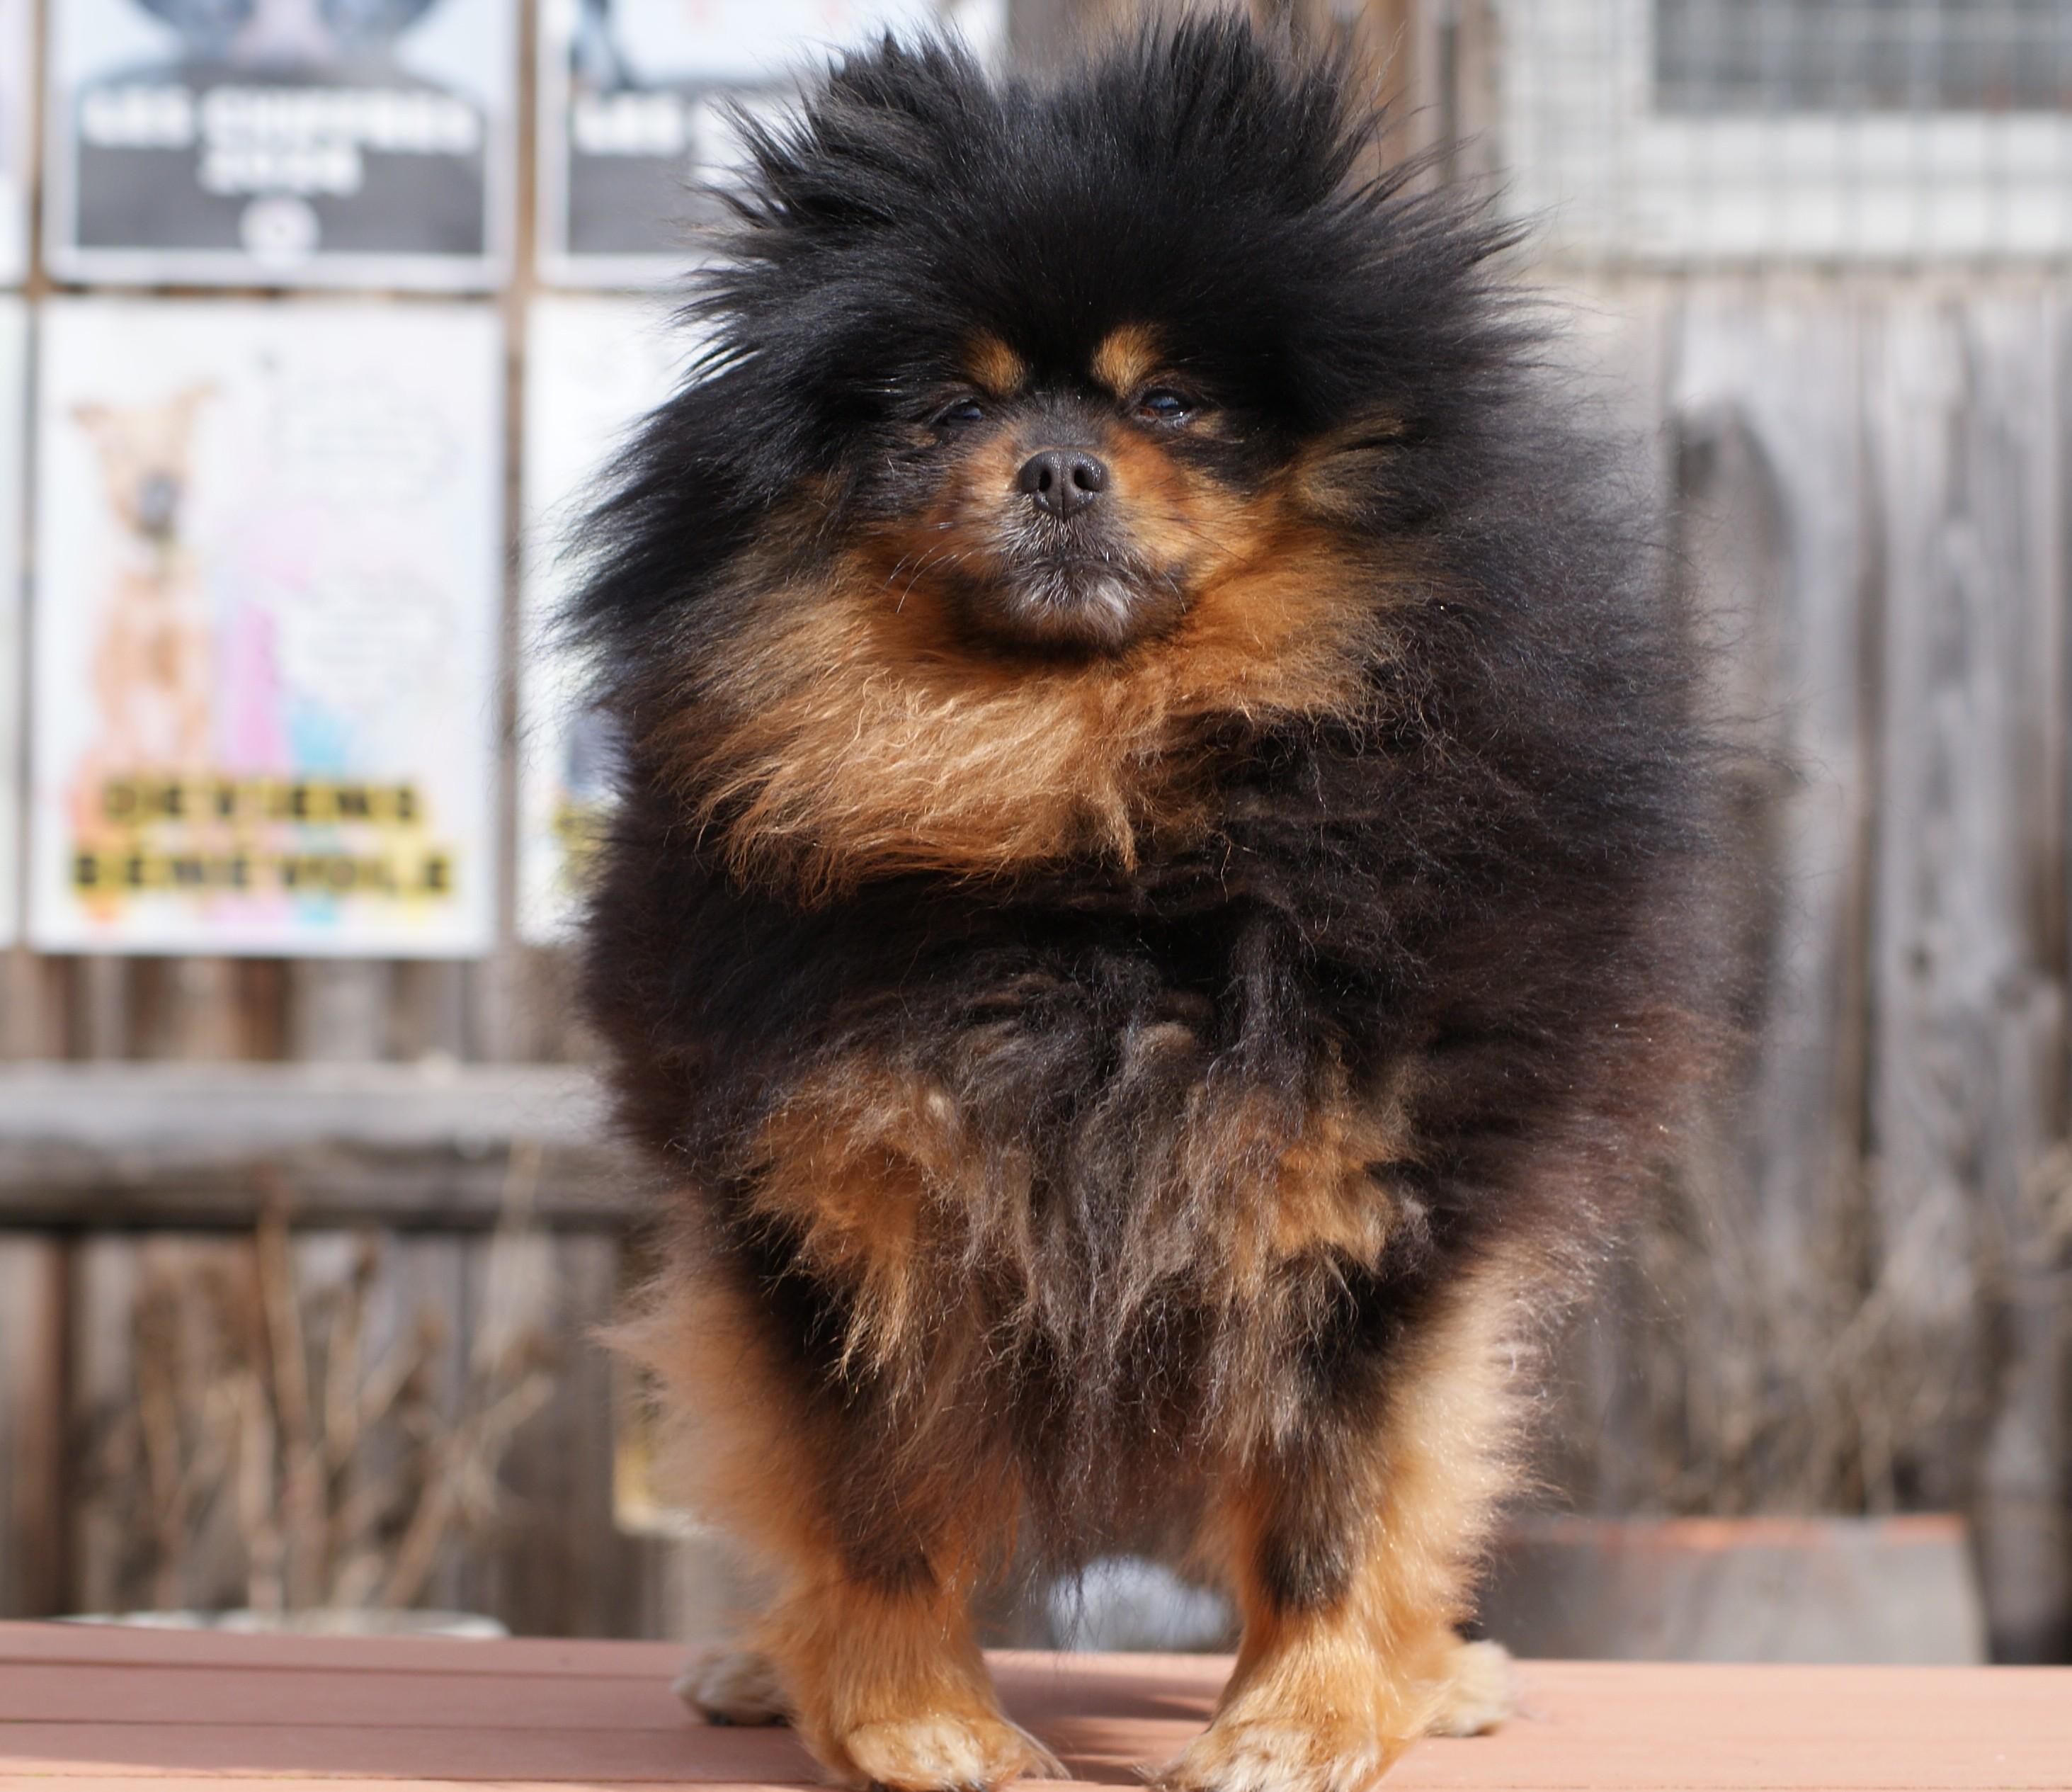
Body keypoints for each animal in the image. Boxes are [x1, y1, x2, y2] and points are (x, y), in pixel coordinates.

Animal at [573, 20, 1718, 1791]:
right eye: (948, 407)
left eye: (1170, 397)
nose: (1054, 462)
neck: (1084, 831)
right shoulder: (840, 1205)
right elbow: (871, 1502)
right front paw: (914, 1717)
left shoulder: (1357, 1206)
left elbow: (1332, 1504)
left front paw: (1303, 1717)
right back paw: (773, 1662)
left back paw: (1429, 1675)